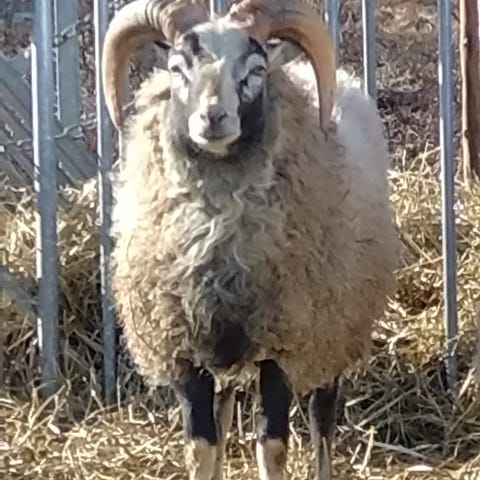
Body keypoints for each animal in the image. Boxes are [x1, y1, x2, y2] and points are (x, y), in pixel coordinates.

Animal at [101, 1, 400, 479]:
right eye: (177, 67)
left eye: (255, 70)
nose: (212, 117)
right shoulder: (185, 346)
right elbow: (201, 446)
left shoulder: (285, 340)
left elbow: (272, 446)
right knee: (224, 416)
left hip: (333, 326)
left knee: (322, 418)